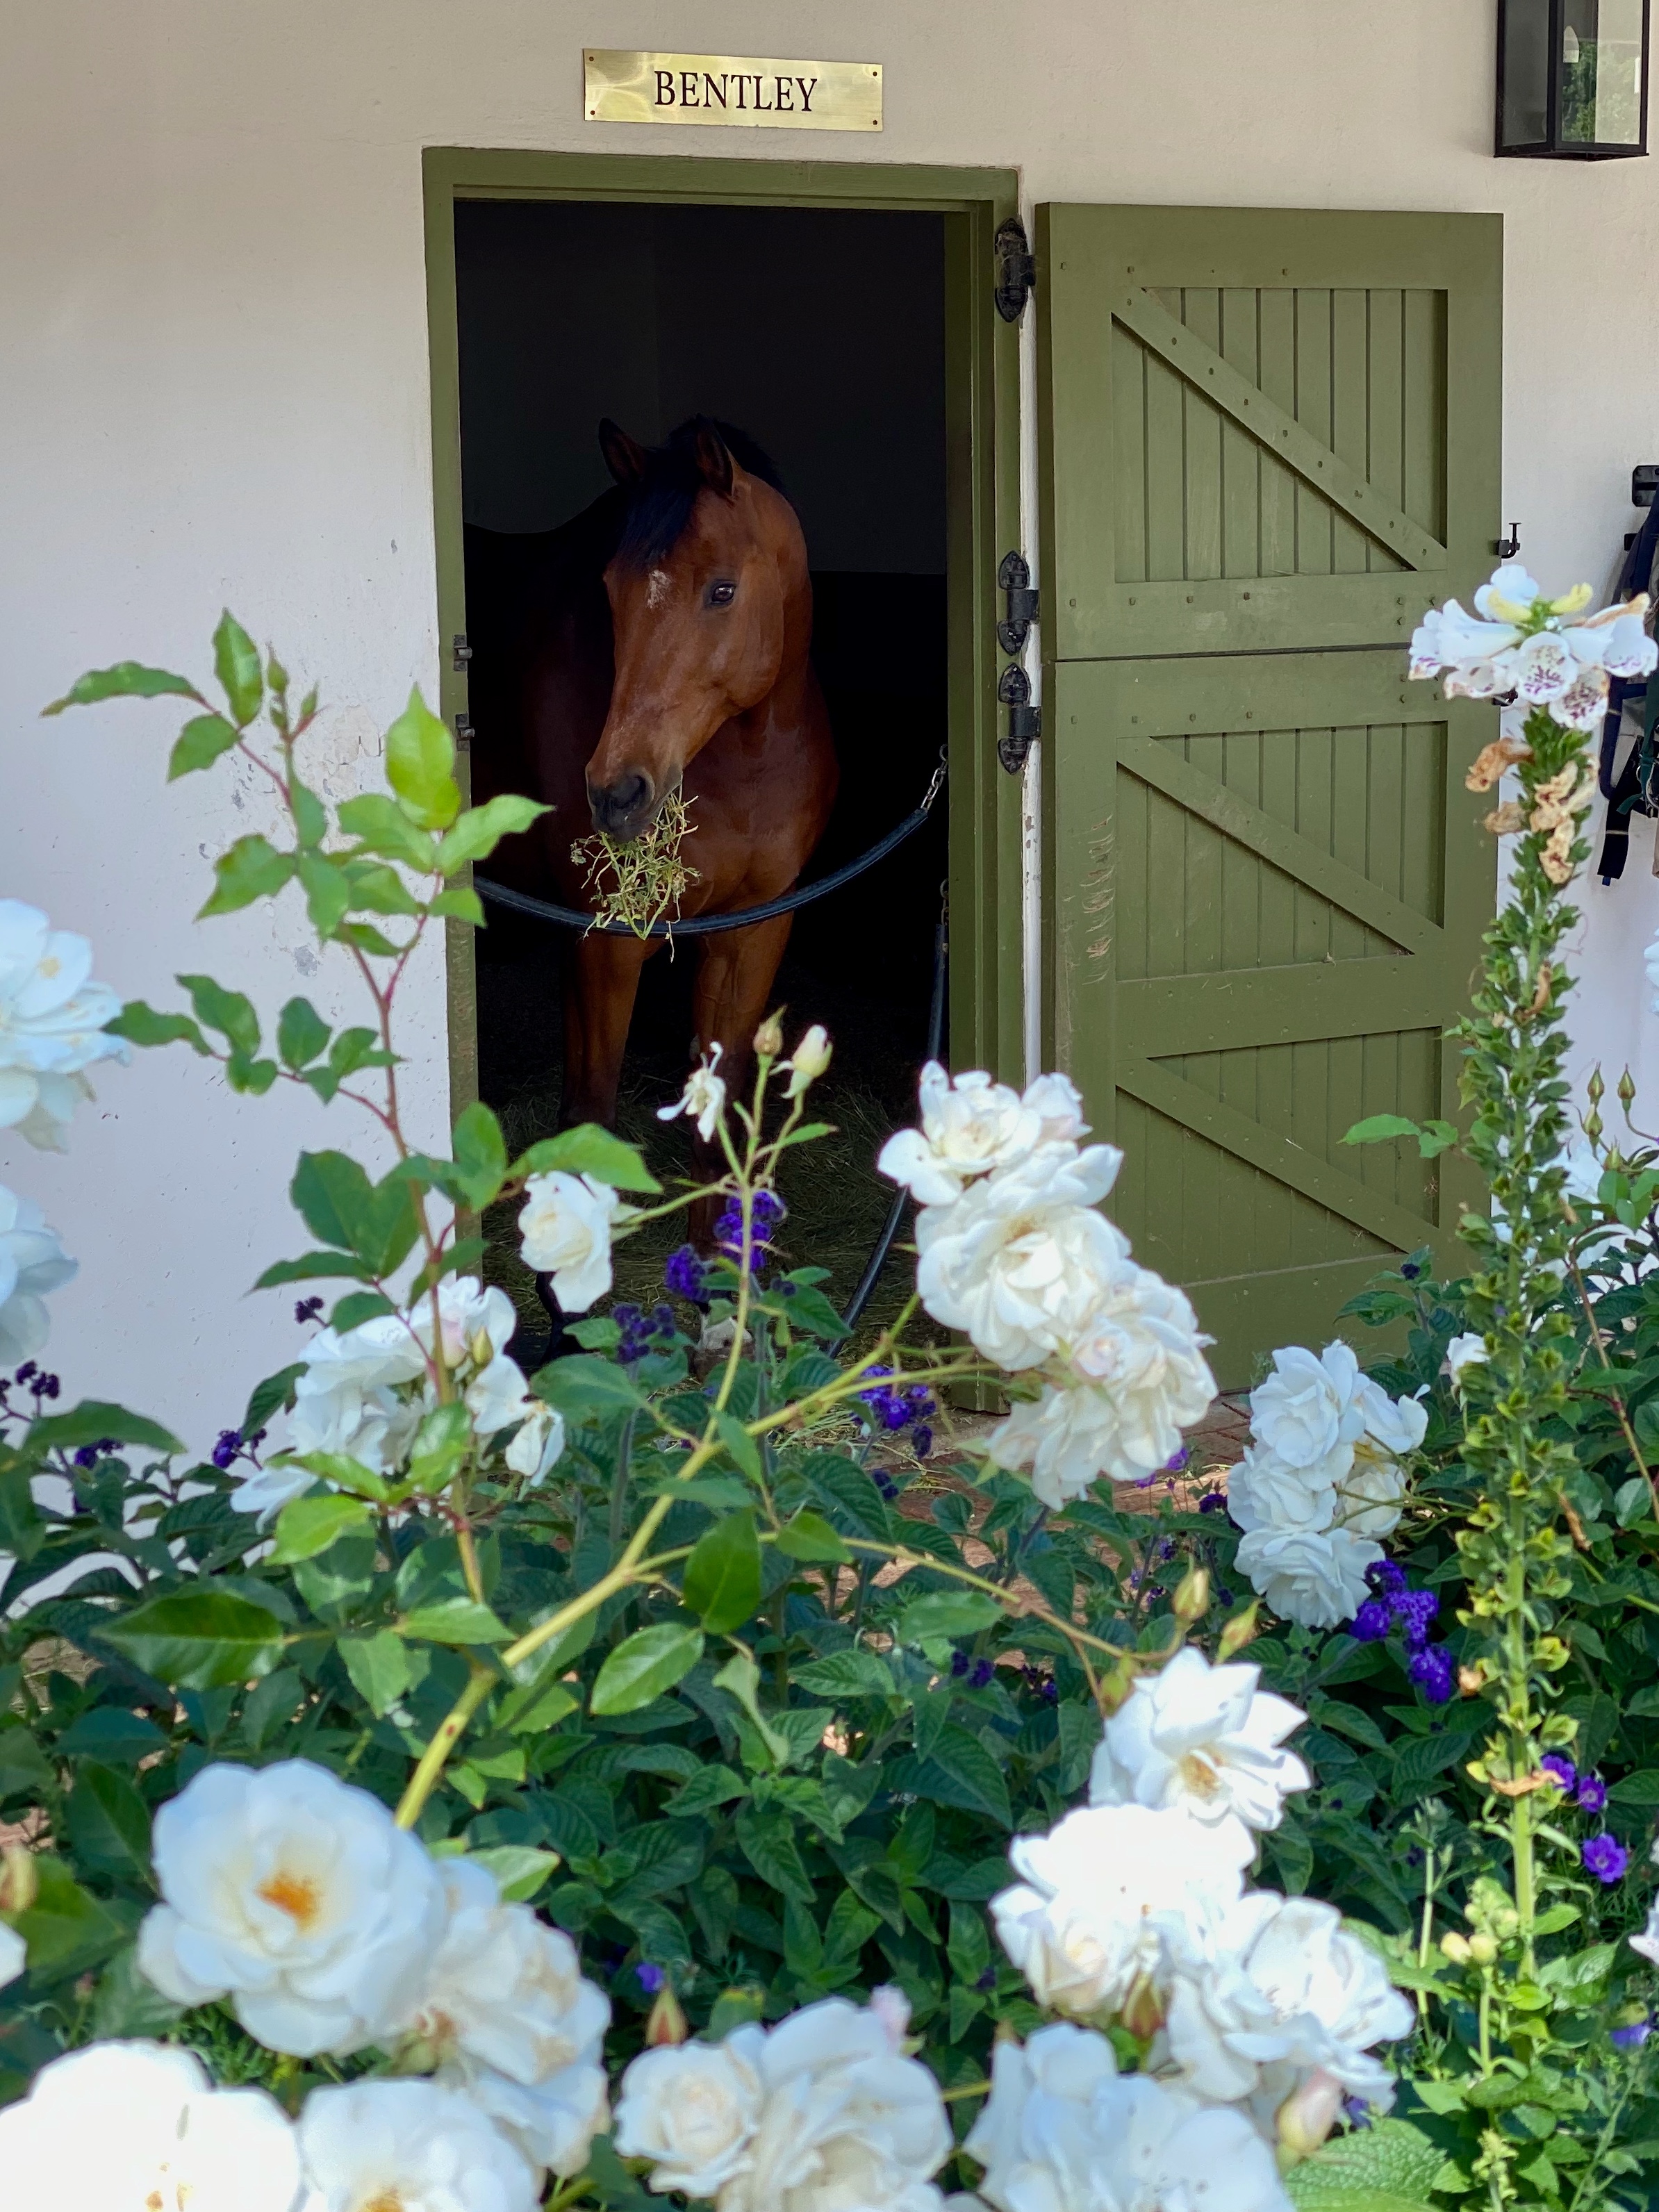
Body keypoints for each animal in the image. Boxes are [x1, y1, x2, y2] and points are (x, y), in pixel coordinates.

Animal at [465, 414, 839, 1208]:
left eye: (723, 590)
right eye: (610, 592)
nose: (617, 792)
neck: (747, 765)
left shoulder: (754, 930)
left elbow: (719, 1120)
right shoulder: (605, 942)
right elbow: (591, 1113)